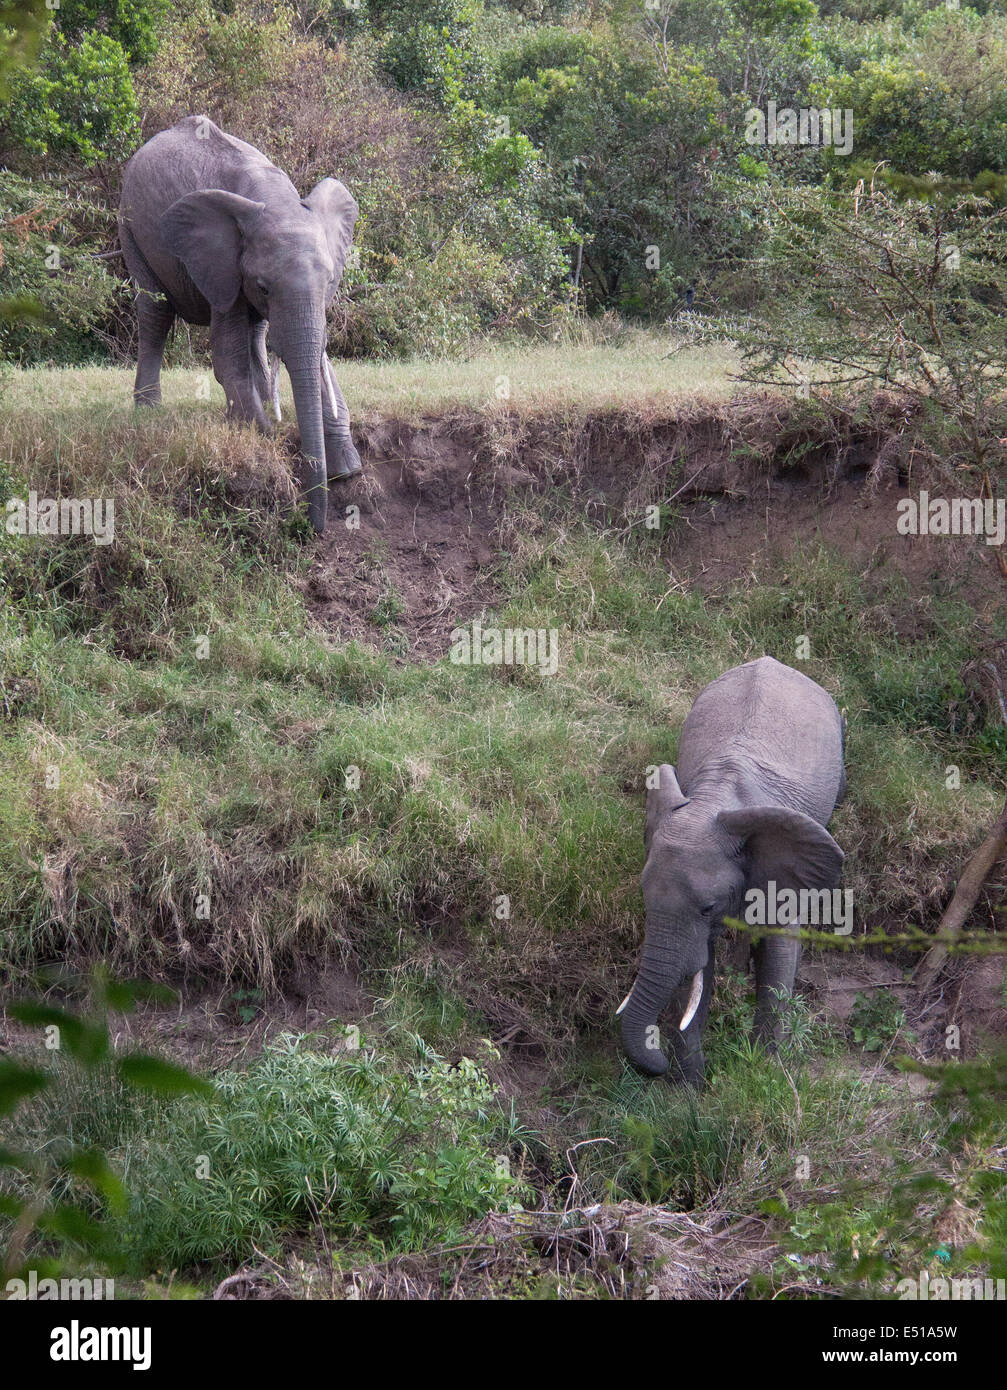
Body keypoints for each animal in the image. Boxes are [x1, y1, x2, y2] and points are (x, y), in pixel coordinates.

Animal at [118, 115, 361, 530]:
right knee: (155, 311)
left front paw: (348, 468)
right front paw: (266, 441)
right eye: (263, 286)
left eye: (331, 281)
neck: (274, 200)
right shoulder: (221, 263)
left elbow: (315, 351)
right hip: (130, 226)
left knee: (256, 330)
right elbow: (225, 355)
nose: (315, 526)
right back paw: (149, 410)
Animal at [617, 653, 845, 1084]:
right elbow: (698, 967)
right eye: (643, 896)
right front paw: (691, 1084)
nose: (657, 1063)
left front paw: (763, 1069)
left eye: (708, 907)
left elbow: (779, 950)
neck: (716, 799)